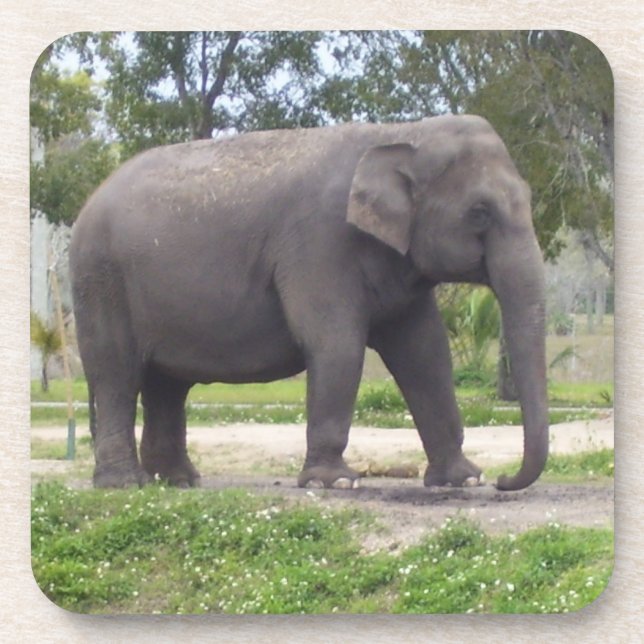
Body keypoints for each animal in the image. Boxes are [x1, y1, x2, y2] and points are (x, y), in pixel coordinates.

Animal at [69, 114, 548, 491]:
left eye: (529, 200)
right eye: (480, 212)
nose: (503, 480)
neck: (400, 132)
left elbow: (426, 353)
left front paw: (463, 479)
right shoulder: (319, 243)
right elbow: (336, 343)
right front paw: (335, 482)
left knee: (166, 384)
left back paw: (178, 481)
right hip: (100, 281)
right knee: (116, 373)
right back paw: (124, 484)